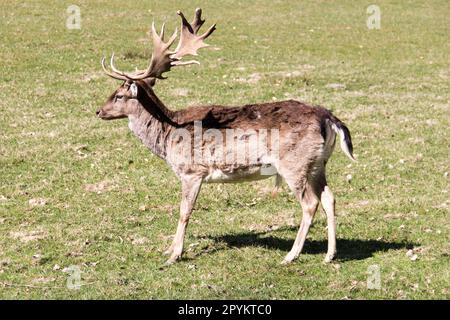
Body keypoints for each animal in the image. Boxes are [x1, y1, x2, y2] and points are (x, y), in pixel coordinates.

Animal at [97, 9, 356, 264]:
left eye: (119, 95)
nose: (98, 111)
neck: (168, 134)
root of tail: (328, 117)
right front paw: (167, 249)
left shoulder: (192, 171)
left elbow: (184, 211)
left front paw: (174, 255)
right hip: (318, 163)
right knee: (329, 198)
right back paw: (330, 255)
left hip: (294, 163)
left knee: (310, 203)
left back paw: (291, 255)